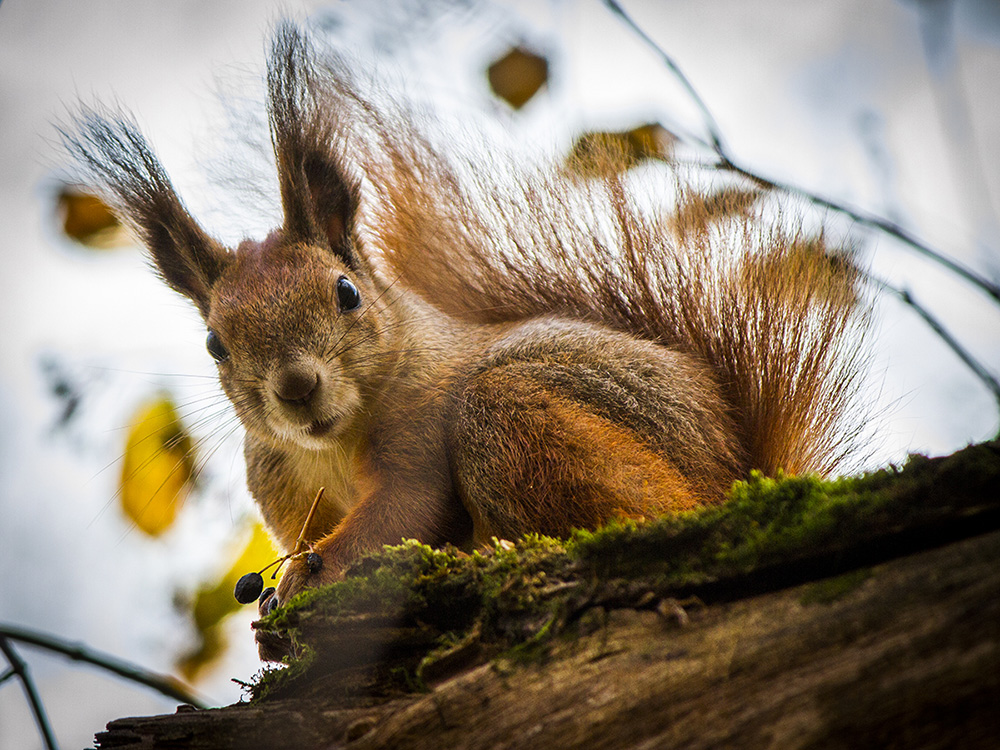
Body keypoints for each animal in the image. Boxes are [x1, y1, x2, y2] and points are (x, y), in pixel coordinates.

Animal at [66, 22, 872, 656]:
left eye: (346, 293)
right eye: (214, 344)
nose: (296, 387)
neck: (332, 446)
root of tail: (738, 472)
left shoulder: (422, 431)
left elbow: (406, 511)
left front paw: (304, 581)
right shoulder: (284, 490)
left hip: (516, 416)